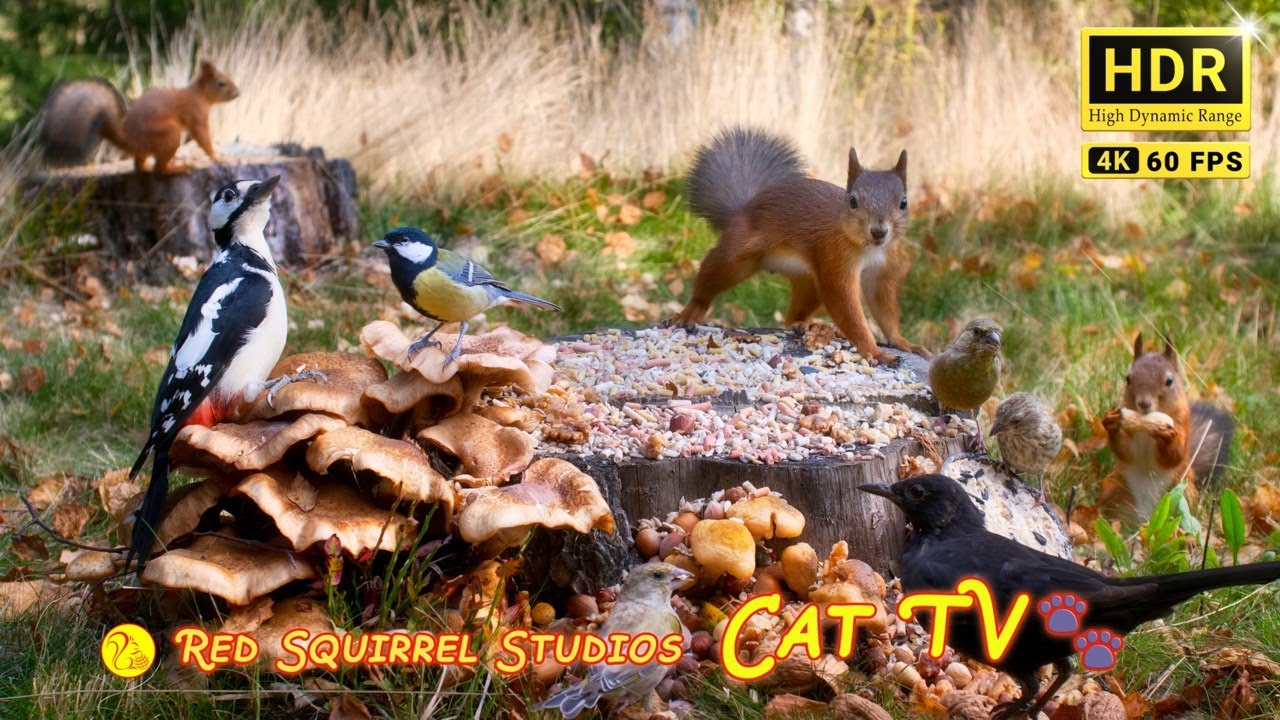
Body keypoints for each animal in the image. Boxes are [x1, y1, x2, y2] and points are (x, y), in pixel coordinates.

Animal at [39, 61, 239, 173]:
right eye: (221, 83)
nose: (237, 93)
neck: (200, 95)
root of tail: (129, 139)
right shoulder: (196, 115)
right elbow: (203, 138)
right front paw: (218, 158)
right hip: (170, 133)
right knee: (159, 170)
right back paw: (176, 169)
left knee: (139, 166)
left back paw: (153, 166)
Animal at [673, 126, 927, 365]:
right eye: (853, 201)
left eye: (904, 202)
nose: (879, 232)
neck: (870, 248)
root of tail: (740, 210)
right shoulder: (835, 259)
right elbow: (845, 304)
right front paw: (874, 351)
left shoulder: (882, 271)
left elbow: (883, 307)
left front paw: (902, 341)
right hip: (734, 256)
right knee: (709, 281)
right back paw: (690, 313)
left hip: (809, 283)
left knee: (794, 312)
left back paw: (803, 323)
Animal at [1099, 333, 1234, 525]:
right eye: (1128, 378)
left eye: (1169, 381)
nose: (1144, 404)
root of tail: (1147, 519)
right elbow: (1126, 452)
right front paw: (1111, 423)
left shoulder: (1182, 423)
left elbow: (1175, 455)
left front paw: (1167, 436)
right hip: (1114, 490)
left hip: (1182, 495)